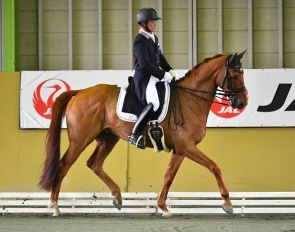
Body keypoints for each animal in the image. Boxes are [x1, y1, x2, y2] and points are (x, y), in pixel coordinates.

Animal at [38, 51, 247, 218]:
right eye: (235, 75)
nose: (242, 103)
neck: (190, 99)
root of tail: (80, 92)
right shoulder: (187, 146)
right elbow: (214, 167)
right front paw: (228, 204)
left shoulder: (181, 149)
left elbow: (168, 176)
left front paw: (163, 208)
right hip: (80, 140)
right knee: (63, 166)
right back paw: (54, 207)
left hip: (108, 139)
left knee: (94, 164)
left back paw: (117, 197)